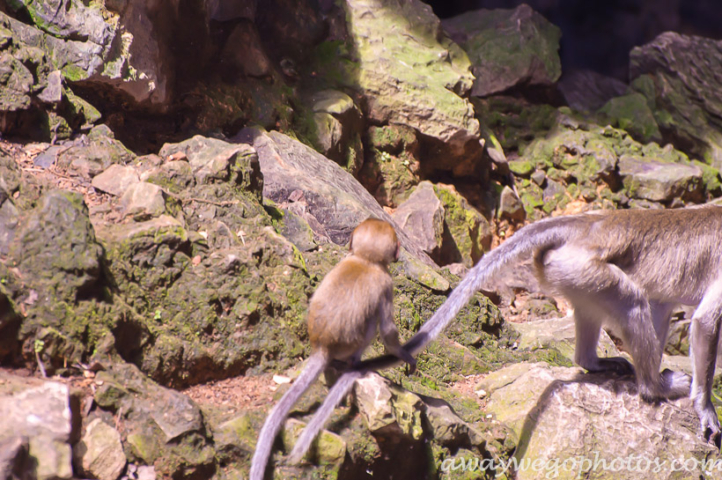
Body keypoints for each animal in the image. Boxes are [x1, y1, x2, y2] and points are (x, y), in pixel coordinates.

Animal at [249, 218, 414, 480]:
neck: (364, 260)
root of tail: (322, 349)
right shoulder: (386, 284)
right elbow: (388, 331)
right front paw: (406, 356)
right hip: (355, 342)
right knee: (372, 325)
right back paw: (354, 364)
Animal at [288, 205, 720, 458]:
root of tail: (588, 223)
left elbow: (665, 304)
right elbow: (704, 321)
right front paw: (704, 407)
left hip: (568, 270)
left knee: (623, 304)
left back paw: (594, 363)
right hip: (580, 266)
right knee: (632, 301)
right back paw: (654, 388)